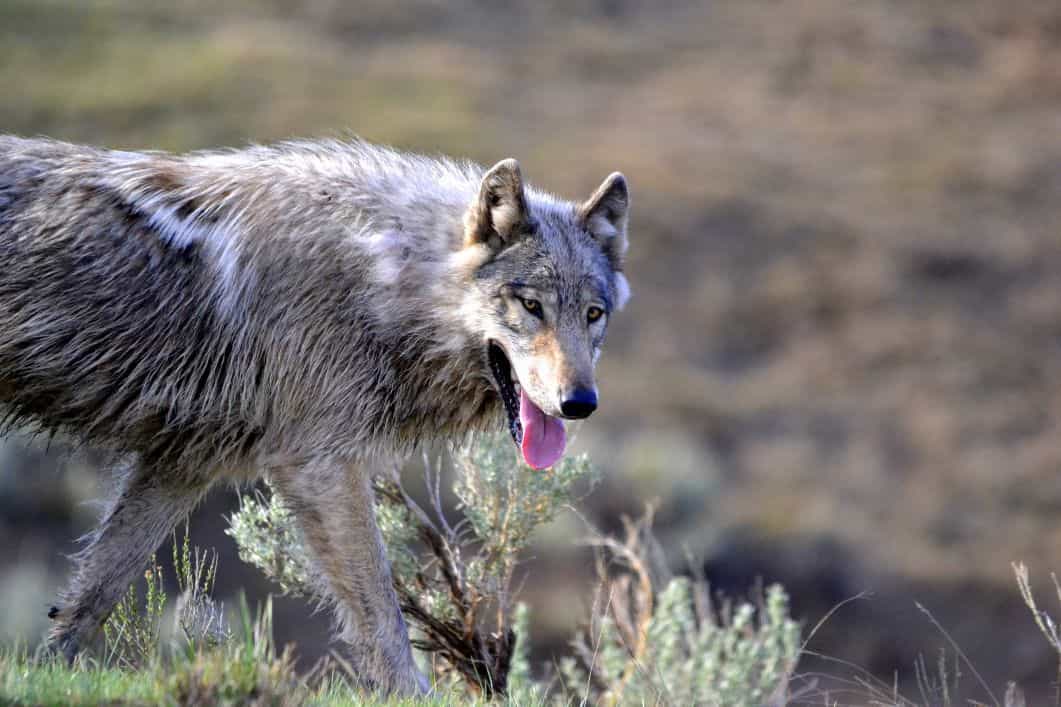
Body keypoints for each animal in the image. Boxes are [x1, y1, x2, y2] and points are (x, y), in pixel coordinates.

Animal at [0, 135, 630, 693]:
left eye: (593, 314)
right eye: (531, 306)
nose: (580, 404)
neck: (384, 278)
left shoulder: (182, 465)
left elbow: (90, 598)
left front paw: (46, 675)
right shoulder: (321, 469)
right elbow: (383, 616)